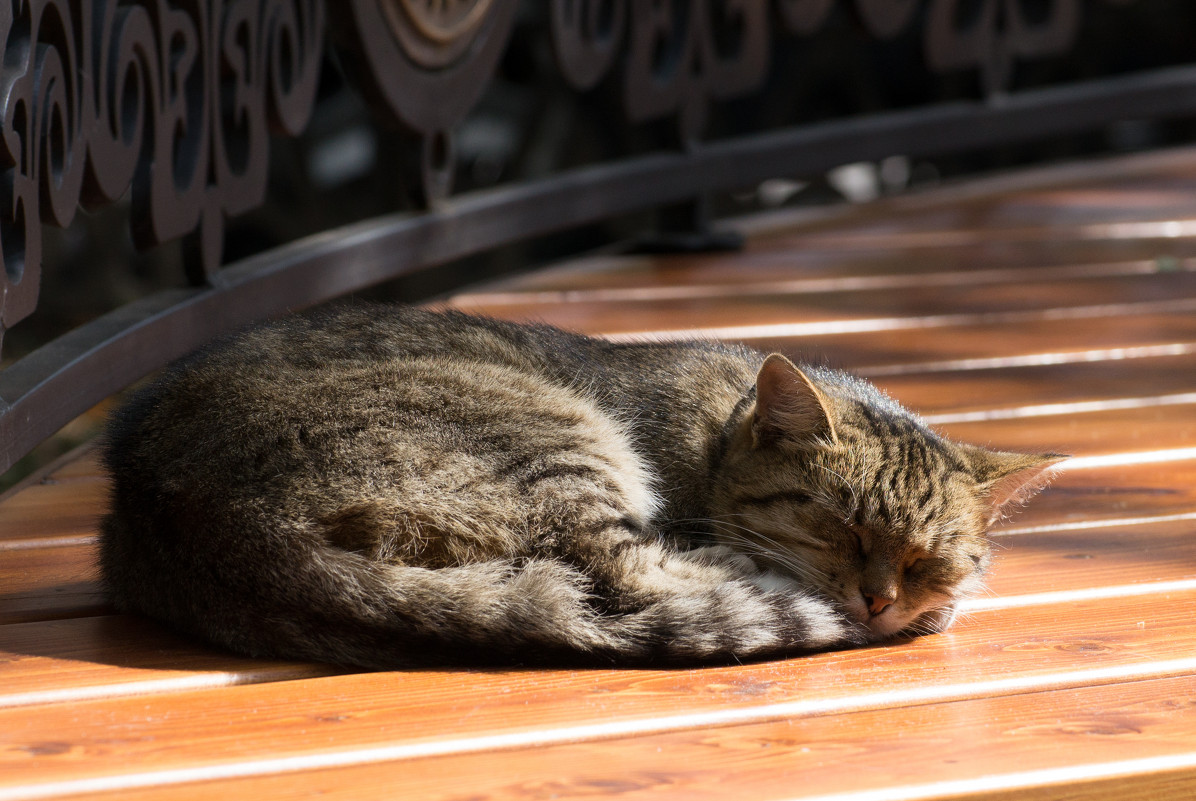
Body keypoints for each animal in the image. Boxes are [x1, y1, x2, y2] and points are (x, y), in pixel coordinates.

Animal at [98, 304, 1062, 669]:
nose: (880, 599)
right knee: (626, 574)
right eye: (838, 527)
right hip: (557, 439)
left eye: (931, 558)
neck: (717, 434)